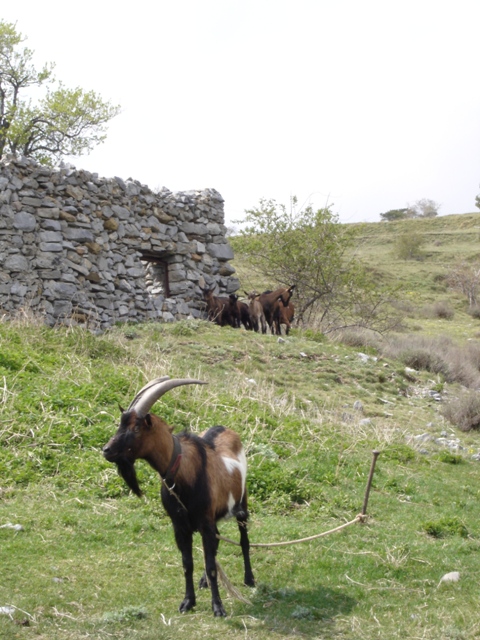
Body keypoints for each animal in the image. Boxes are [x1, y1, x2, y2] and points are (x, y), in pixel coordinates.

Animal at [102, 377, 255, 617]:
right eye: (120, 424)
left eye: (135, 427)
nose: (106, 450)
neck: (181, 471)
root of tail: (226, 429)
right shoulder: (180, 525)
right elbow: (187, 563)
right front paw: (188, 602)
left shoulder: (204, 521)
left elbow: (211, 566)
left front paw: (218, 607)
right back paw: (204, 582)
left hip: (241, 504)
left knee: (243, 540)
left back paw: (249, 578)